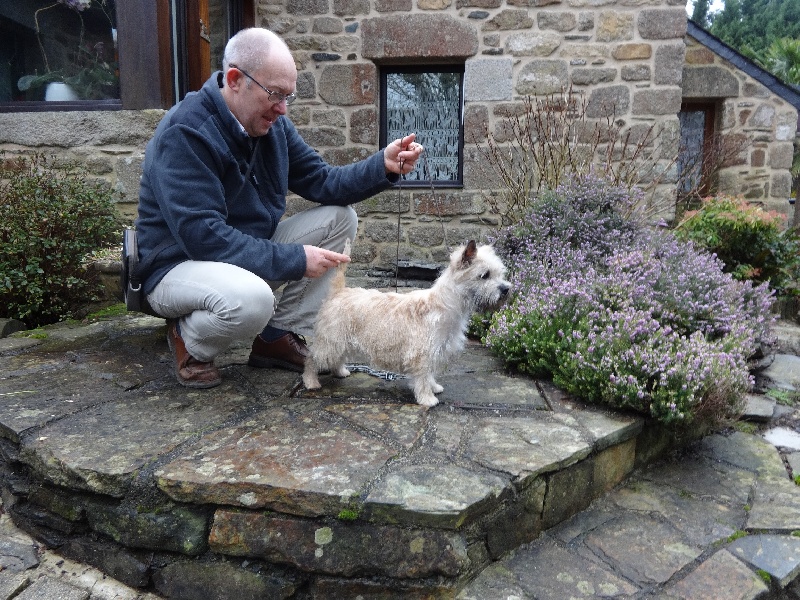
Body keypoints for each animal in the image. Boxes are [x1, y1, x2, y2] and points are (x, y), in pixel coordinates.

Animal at [304, 240, 510, 408]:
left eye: (500, 273)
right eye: (484, 275)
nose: (506, 289)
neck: (446, 305)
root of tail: (338, 291)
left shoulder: (435, 350)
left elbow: (430, 373)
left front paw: (434, 387)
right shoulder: (422, 353)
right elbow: (422, 376)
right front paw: (427, 398)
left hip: (340, 340)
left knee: (337, 358)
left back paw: (340, 372)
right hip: (331, 340)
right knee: (312, 358)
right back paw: (310, 382)